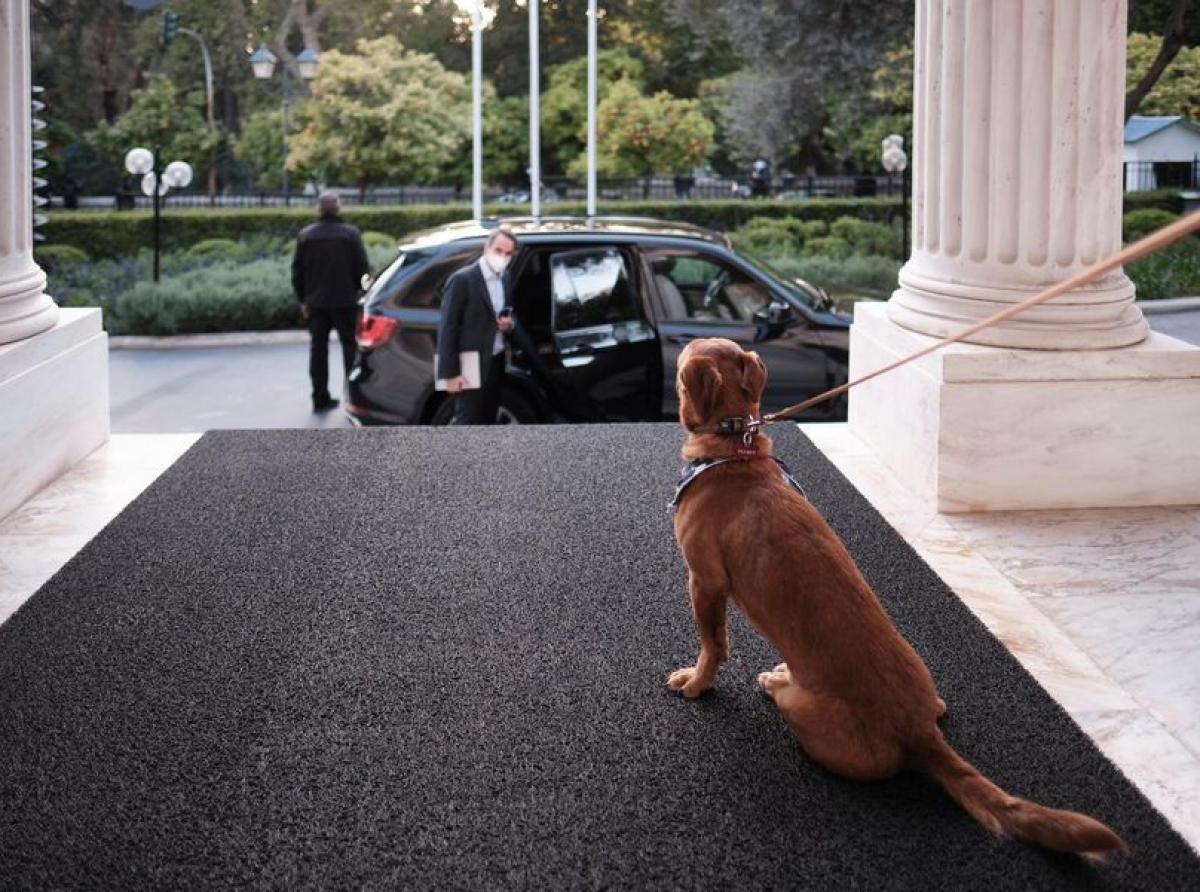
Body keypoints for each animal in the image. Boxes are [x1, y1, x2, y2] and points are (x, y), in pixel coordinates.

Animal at [667, 338, 1123, 859]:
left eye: (680, 365)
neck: (733, 448)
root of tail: (919, 734)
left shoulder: (704, 581)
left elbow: (712, 644)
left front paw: (696, 682)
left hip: (801, 708)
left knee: (785, 696)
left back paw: (776, 678)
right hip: (926, 689)